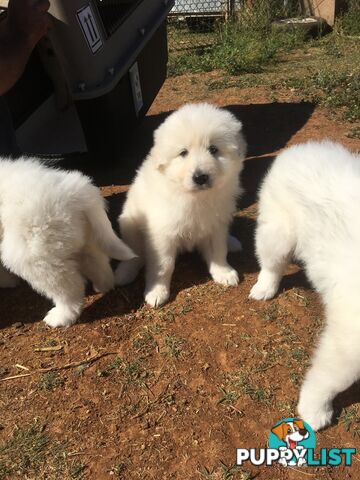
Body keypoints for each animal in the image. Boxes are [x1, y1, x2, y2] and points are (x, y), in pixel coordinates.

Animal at [0, 159, 134, 328]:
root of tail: (78, 192)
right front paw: (7, 282)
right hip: (81, 237)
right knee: (97, 262)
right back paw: (103, 286)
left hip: (34, 253)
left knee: (69, 287)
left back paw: (61, 316)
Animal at [116, 102, 248, 306]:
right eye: (183, 153)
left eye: (214, 149)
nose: (200, 177)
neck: (195, 197)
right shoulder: (161, 234)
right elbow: (163, 265)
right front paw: (157, 292)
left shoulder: (215, 225)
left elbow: (218, 251)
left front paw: (223, 272)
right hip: (130, 223)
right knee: (134, 253)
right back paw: (124, 273)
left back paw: (232, 241)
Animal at [250, 141, 360, 430]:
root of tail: (302, 148)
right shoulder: (347, 340)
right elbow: (328, 379)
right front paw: (314, 411)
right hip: (278, 233)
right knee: (271, 265)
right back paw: (264, 289)